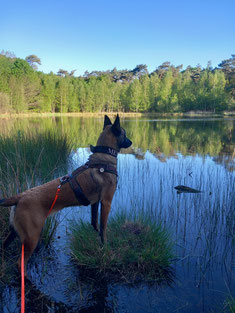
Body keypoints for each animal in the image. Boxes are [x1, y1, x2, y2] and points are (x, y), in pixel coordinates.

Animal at [0, 114, 132, 272]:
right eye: (124, 133)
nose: (131, 142)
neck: (103, 157)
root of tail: (20, 196)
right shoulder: (106, 202)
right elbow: (103, 228)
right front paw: (105, 247)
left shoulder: (95, 203)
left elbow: (95, 223)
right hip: (32, 237)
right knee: (19, 263)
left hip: (15, 232)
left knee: (3, 246)